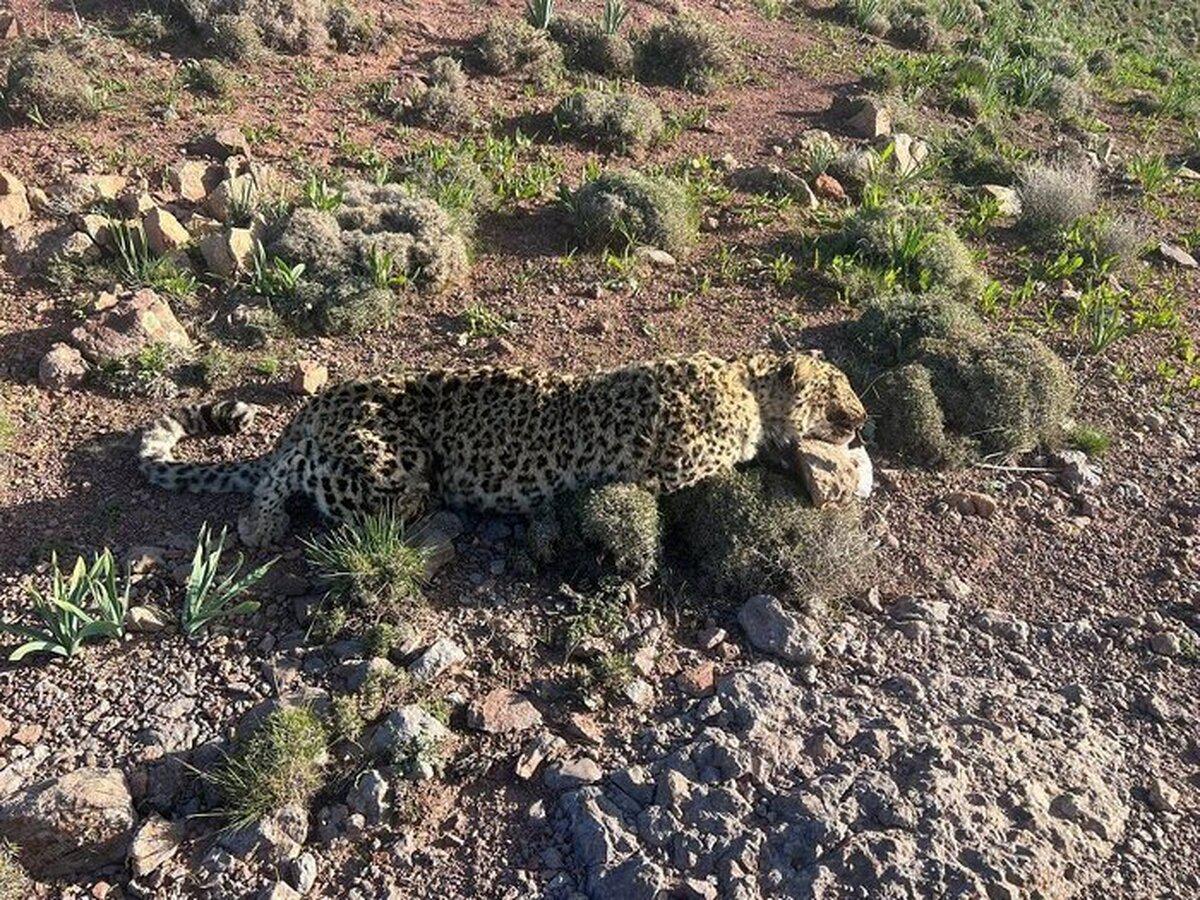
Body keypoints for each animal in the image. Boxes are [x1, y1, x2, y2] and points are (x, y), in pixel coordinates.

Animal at [140, 352, 864, 549]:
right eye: (841, 387)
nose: (861, 419)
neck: (745, 383)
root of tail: (322, 403)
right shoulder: (672, 473)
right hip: (392, 463)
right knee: (293, 473)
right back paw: (262, 524)